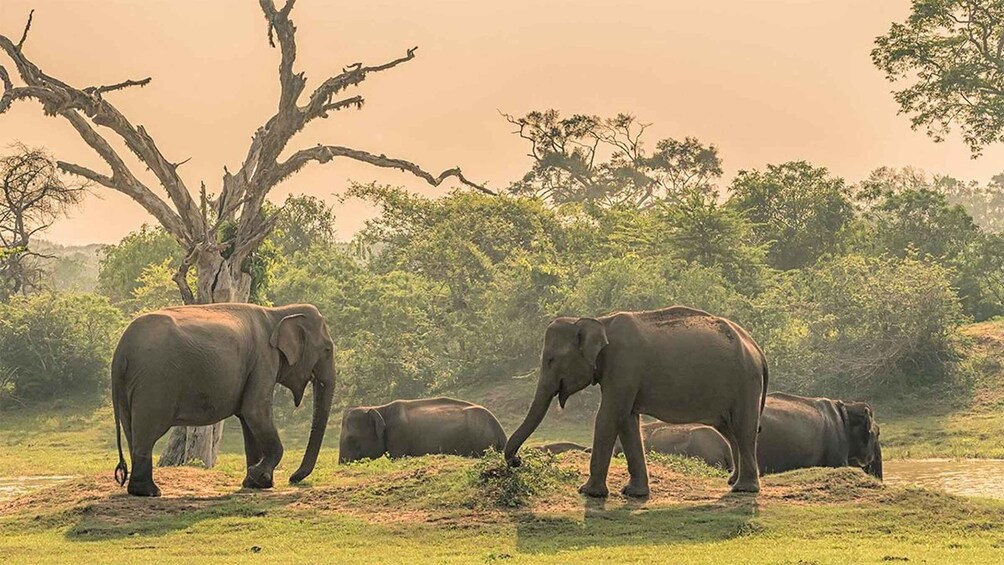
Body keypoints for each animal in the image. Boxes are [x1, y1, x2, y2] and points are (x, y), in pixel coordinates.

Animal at [111, 303, 335, 497]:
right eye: (328, 349)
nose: (293, 478)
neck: (278, 313)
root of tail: (120, 350)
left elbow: (248, 419)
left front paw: (255, 483)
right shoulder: (264, 360)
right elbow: (255, 411)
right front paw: (258, 476)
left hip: (130, 386)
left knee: (133, 432)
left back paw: (141, 490)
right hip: (154, 383)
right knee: (147, 431)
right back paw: (150, 492)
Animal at [504, 306, 769, 496]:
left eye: (550, 360)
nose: (517, 461)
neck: (599, 321)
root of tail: (756, 348)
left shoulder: (624, 365)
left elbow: (609, 416)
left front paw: (588, 492)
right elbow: (627, 420)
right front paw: (633, 493)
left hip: (745, 381)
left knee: (743, 428)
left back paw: (743, 489)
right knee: (729, 429)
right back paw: (732, 481)